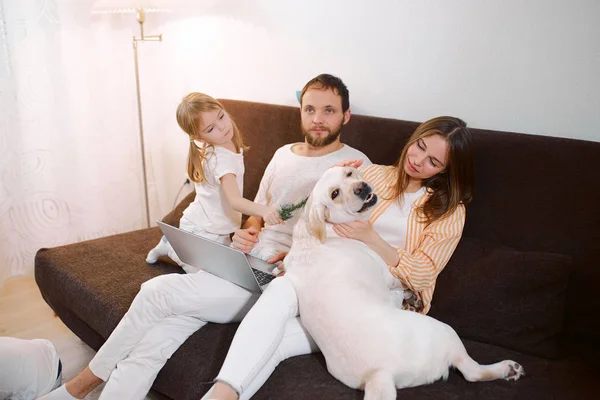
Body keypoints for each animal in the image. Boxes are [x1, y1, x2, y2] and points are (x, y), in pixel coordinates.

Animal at [284, 167, 524, 400]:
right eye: (335, 193)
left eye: (349, 174)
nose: (360, 188)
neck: (320, 230)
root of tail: (379, 373)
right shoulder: (385, 271)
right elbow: (400, 280)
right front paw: (411, 294)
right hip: (446, 331)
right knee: (471, 371)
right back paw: (507, 368)